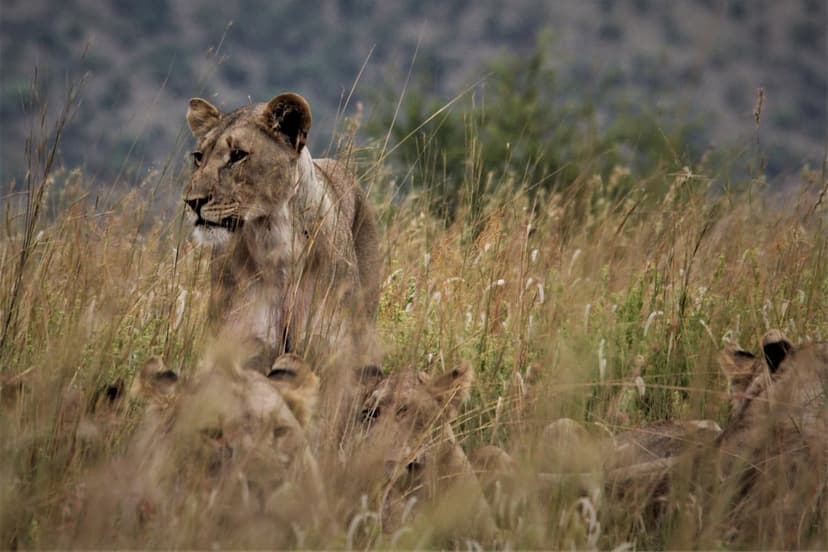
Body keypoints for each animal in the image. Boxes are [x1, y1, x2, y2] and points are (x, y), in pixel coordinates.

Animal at [184, 92, 380, 369]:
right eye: (199, 157)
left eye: (238, 155)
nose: (192, 201)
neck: (272, 235)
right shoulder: (243, 342)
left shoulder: (329, 343)